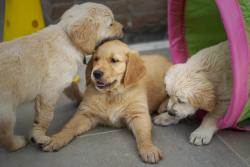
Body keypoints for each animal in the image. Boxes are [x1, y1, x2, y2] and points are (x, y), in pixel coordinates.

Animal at [0, 2, 122, 151]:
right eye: (111, 24)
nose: (123, 28)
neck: (68, 40)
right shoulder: (49, 92)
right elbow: (45, 116)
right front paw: (39, 136)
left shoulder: (64, 80)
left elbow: (73, 88)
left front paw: (81, 99)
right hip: (6, 109)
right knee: (4, 133)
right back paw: (17, 143)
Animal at [43, 40, 172, 163]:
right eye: (96, 59)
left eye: (114, 60)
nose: (96, 73)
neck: (111, 94)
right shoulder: (85, 114)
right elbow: (70, 126)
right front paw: (57, 138)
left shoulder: (138, 114)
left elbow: (143, 134)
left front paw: (148, 148)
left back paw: (164, 106)